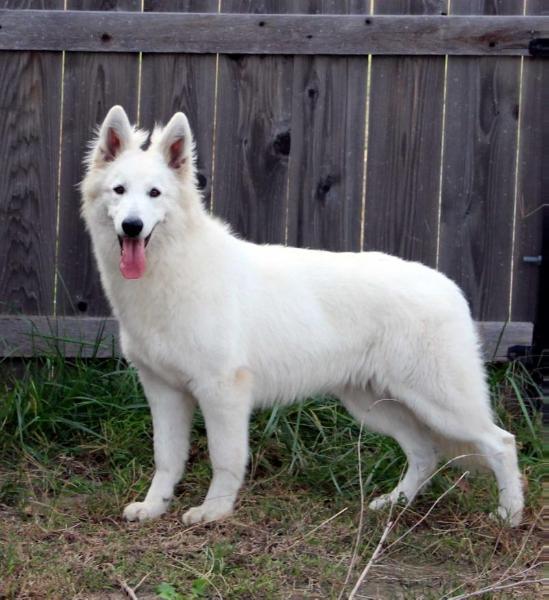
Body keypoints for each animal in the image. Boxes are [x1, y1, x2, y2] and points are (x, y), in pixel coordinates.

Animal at [80, 106, 524, 524]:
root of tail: (449, 287)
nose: (132, 226)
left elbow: (225, 458)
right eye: (119, 190)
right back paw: (393, 504)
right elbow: (167, 458)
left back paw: (509, 515)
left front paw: (214, 511)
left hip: (442, 404)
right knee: (425, 452)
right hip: (375, 406)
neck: (173, 268)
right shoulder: (163, 392)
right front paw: (154, 507)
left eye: (155, 193)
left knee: (501, 442)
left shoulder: (222, 392)